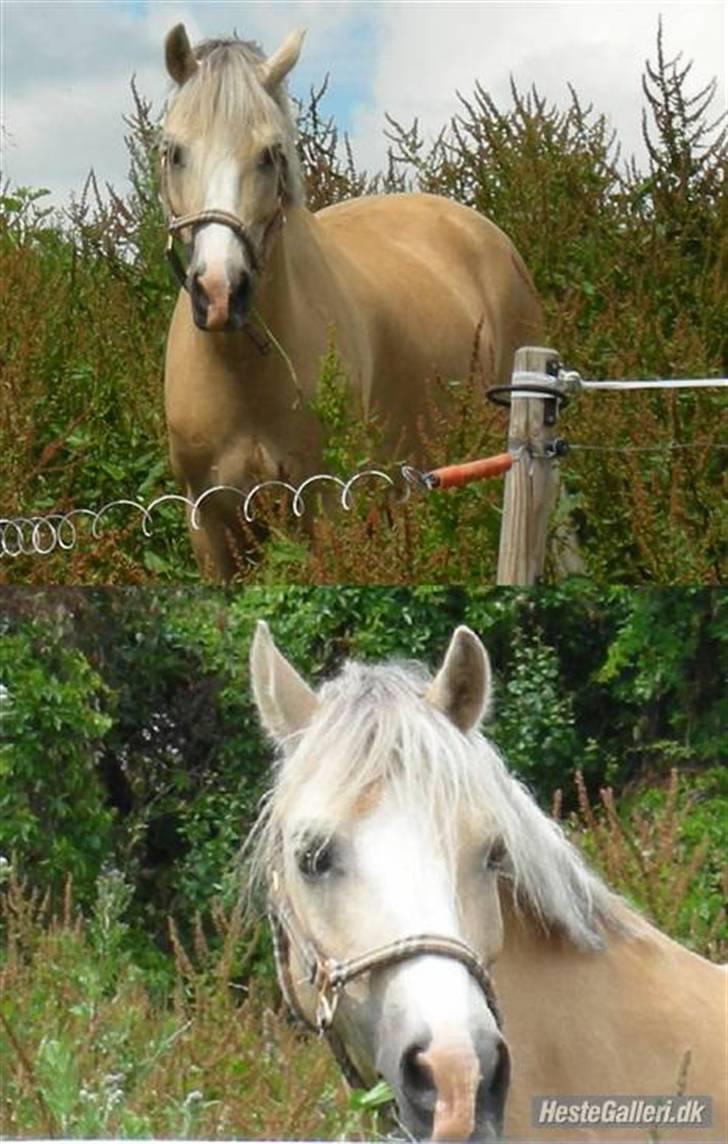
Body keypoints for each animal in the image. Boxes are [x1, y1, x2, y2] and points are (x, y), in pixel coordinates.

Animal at [162, 24, 542, 581]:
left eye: (269, 154)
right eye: (174, 152)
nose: (220, 292)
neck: (245, 367)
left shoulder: (325, 505)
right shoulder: (209, 522)